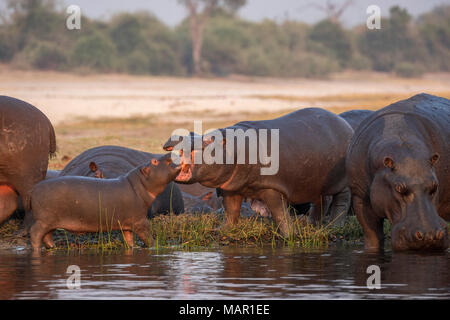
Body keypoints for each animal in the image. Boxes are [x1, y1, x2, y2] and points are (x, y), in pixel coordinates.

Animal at [28, 152, 181, 250]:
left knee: (47, 235)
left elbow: (129, 238)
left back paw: (52, 247)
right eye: (154, 161)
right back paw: (37, 249)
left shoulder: (127, 223)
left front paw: (133, 247)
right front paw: (157, 246)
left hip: (51, 221)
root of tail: (34, 189)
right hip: (44, 220)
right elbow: (147, 235)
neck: (140, 184)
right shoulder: (140, 221)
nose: (169, 153)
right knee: (35, 232)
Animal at [163, 107, 354, 235]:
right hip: (316, 183)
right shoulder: (231, 187)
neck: (233, 149)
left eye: (209, 139)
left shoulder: (272, 188)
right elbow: (231, 210)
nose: (178, 135)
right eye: (192, 131)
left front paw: (289, 235)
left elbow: (279, 213)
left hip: (342, 183)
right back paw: (311, 223)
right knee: (321, 200)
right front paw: (221, 230)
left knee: (341, 202)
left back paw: (334, 227)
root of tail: (346, 125)